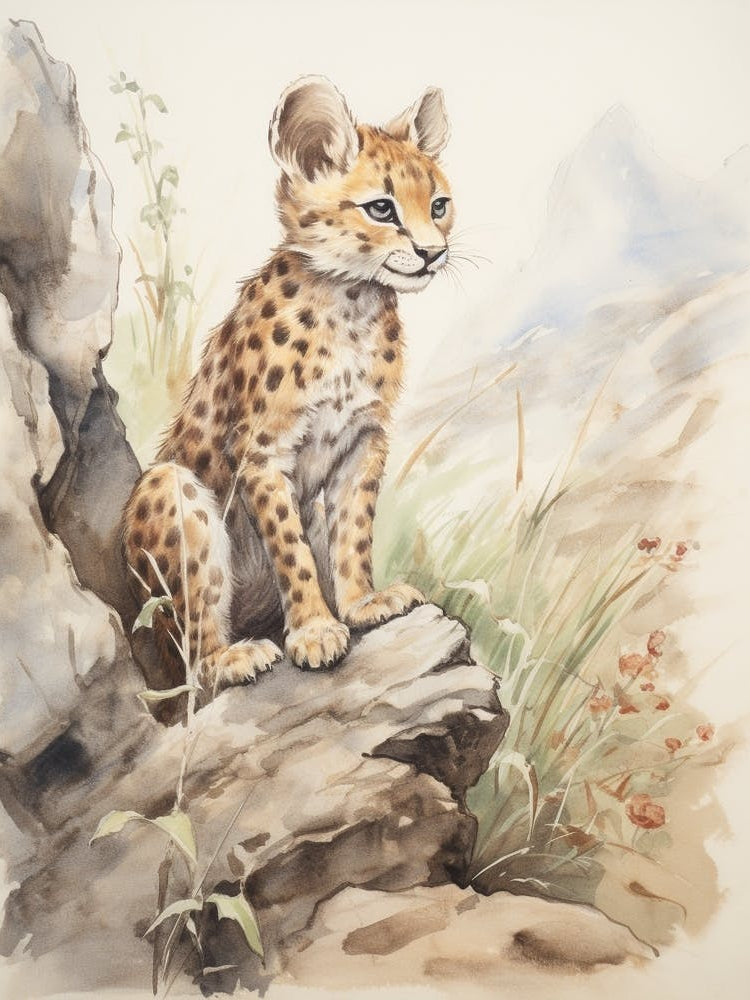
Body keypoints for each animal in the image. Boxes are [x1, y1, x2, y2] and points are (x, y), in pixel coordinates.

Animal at [121, 75, 454, 691]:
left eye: (439, 205)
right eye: (382, 208)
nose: (432, 253)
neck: (351, 300)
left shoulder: (364, 440)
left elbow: (353, 530)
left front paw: (360, 603)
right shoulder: (262, 452)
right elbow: (290, 547)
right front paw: (315, 630)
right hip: (167, 488)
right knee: (192, 658)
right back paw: (230, 656)